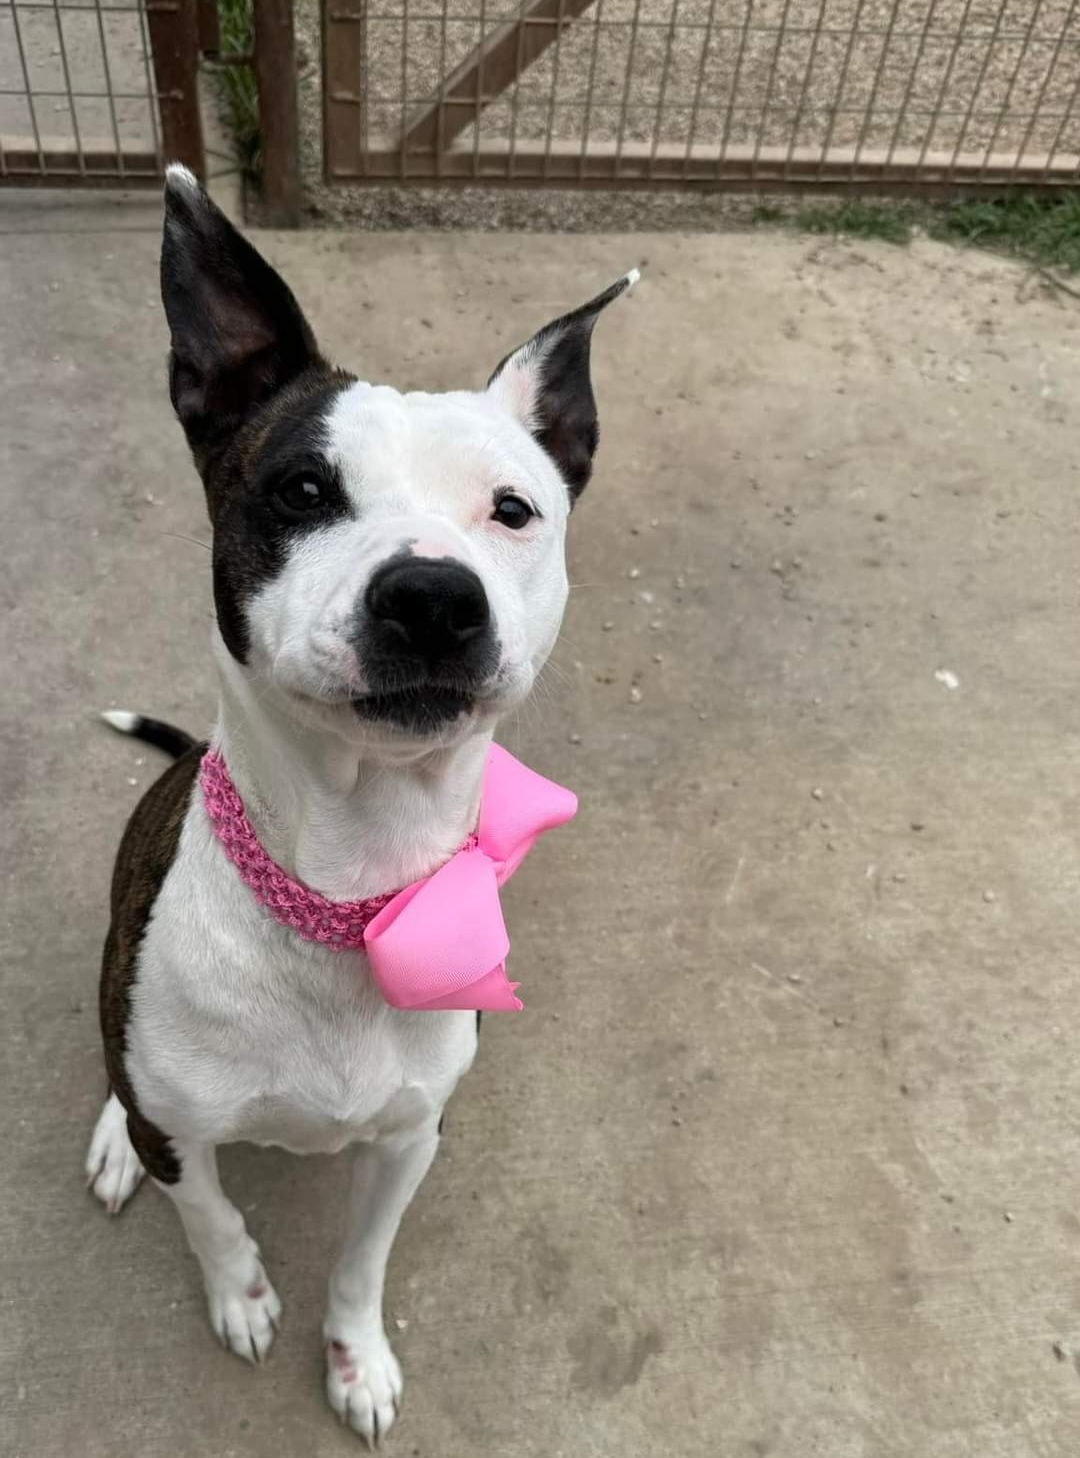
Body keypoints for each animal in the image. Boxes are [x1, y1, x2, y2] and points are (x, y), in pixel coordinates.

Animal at [88, 165, 635, 1440]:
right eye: (300, 488)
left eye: (513, 510)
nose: (433, 598)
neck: (349, 892)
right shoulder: (180, 1123)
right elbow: (212, 1216)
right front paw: (241, 1295)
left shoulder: (408, 1140)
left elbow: (362, 1262)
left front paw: (355, 1360)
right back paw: (109, 1142)